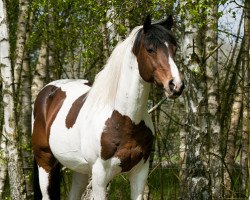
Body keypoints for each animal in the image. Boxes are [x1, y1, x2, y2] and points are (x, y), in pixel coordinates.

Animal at [31, 14, 184, 199]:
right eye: (150, 49)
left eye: (174, 49)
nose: (176, 85)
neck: (125, 120)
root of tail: (47, 92)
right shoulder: (100, 175)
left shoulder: (140, 173)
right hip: (45, 162)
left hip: (79, 170)